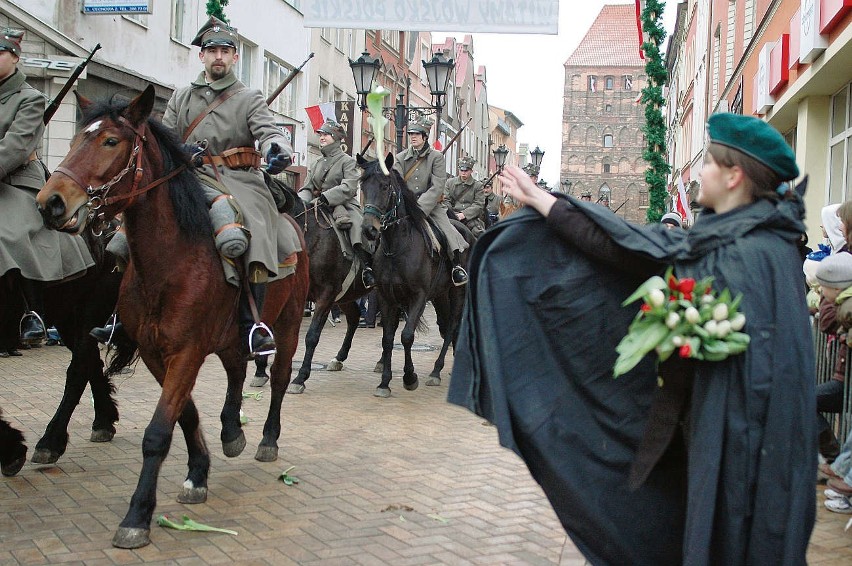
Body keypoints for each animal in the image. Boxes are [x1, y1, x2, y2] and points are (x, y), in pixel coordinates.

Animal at [37, 86, 310, 552]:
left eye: (110, 141)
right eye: (73, 139)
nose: (50, 202)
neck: (171, 261)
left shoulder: (187, 351)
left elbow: (158, 431)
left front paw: (137, 516)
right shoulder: (155, 352)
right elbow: (185, 414)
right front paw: (198, 472)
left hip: (289, 325)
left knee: (277, 378)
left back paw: (266, 439)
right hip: (229, 336)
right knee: (237, 369)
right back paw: (232, 431)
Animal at [354, 153, 472, 398]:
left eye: (385, 186)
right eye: (363, 186)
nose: (369, 230)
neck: (396, 247)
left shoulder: (418, 297)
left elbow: (407, 336)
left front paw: (410, 377)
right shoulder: (387, 298)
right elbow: (388, 338)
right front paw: (384, 382)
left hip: (458, 293)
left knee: (452, 326)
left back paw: (436, 371)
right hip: (440, 295)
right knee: (445, 325)